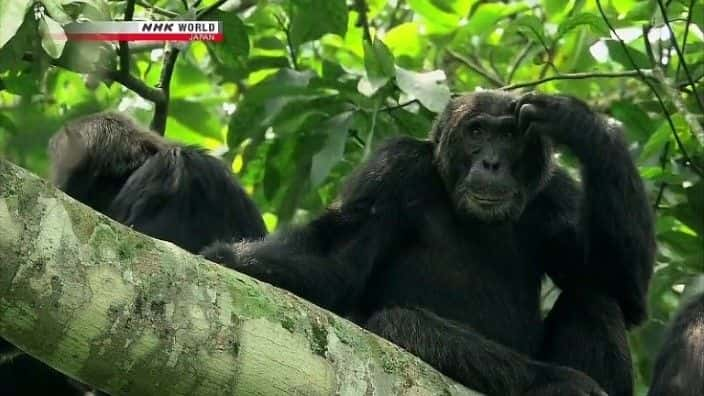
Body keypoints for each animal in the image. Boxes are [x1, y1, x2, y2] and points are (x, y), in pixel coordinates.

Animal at [204, 90, 656, 396]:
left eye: (510, 135)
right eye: (477, 131)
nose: (491, 162)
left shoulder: (557, 196)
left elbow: (621, 288)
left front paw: (582, 125)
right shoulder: (391, 171)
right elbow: (335, 263)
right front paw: (225, 258)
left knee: (594, 298)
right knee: (395, 322)